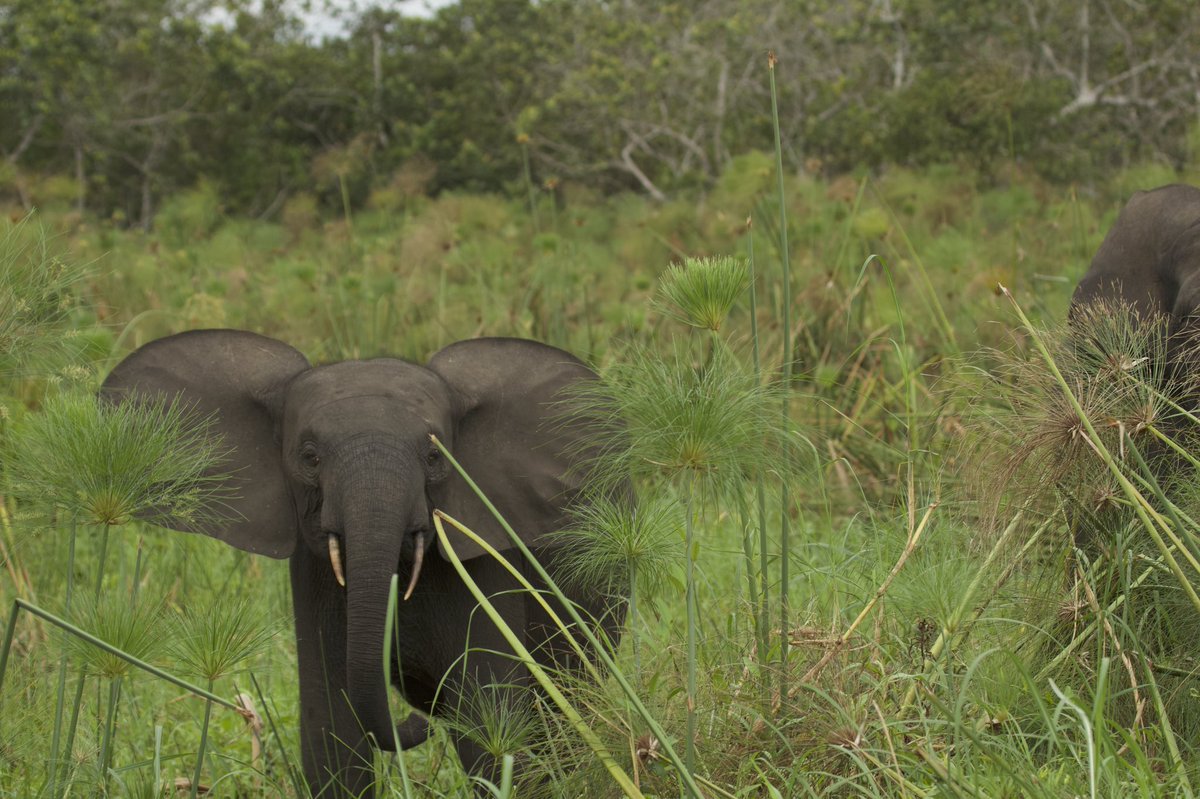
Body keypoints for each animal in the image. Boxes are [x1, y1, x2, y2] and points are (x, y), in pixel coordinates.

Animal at [100, 330, 627, 797]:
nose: (415, 722)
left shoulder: (483, 565)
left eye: (434, 455)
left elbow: (492, 726)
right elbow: (331, 737)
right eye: (309, 457)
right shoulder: (314, 576)